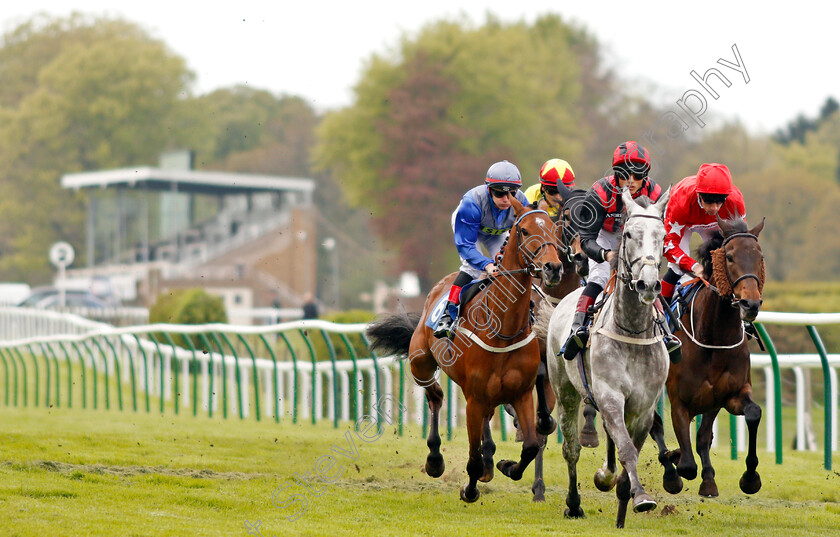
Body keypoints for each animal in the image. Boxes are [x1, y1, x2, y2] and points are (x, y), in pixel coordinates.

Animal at [364, 197, 560, 502]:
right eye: (525, 230)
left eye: (552, 227)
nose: (553, 267)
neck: (503, 330)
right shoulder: (474, 399)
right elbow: (472, 459)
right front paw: (470, 489)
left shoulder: (522, 393)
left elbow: (529, 446)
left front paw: (506, 466)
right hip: (421, 363)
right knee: (435, 396)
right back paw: (435, 460)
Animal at [544, 187, 668, 528]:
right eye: (628, 234)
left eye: (663, 236)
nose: (648, 284)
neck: (633, 331)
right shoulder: (610, 394)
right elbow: (626, 449)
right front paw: (640, 496)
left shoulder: (643, 406)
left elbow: (628, 448)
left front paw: (629, 499)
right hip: (566, 391)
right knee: (571, 449)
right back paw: (574, 504)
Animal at [648, 213, 768, 494]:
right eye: (730, 257)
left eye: (760, 257)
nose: (750, 303)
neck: (713, 338)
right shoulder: (679, 401)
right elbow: (687, 464)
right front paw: (675, 461)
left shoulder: (726, 395)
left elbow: (751, 414)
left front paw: (748, 478)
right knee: (653, 425)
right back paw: (668, 470)